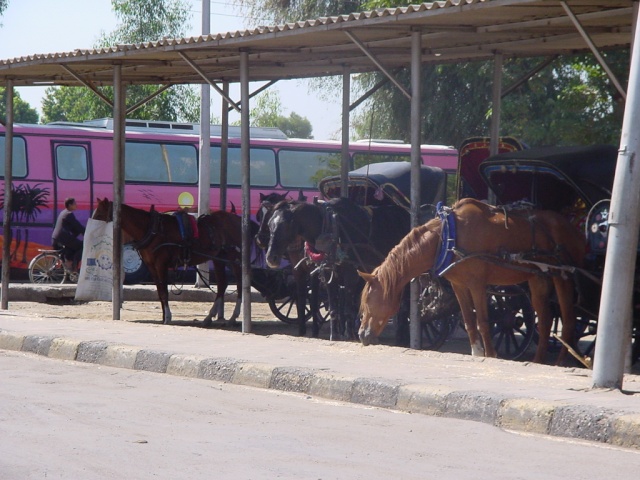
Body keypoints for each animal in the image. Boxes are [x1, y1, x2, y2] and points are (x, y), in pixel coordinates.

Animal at [94, 198, 249, 326]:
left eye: (99, 214)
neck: (152, 229)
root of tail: (236, 218)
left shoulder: (161, 264)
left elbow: (164, 292)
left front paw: (167, 317)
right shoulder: (151, 266)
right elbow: (159, 291)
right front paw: (163, 316)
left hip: (234, 258)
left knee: (240, 283)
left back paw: (233, 316)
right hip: (219, 258)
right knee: (222, 284)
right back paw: (209, 317)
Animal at [262, 199, 408, 342]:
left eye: (286, 225)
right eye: (269, 225)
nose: (270, 258)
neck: (331, 227)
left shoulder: (351, 275)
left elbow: (348, 308)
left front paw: (349, 335)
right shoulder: (328, 274)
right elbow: (333, 307)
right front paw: (335, 335)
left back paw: (401, 335)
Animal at [358, 198, 588, 364]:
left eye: (368, 301)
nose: (361, 334)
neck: (448, 237)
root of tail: (572, 228)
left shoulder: (478, 284)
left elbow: (483, 321)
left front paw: (491, 354)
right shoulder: (459, 286)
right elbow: (469, 321)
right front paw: (477, 352)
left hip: (562, 276)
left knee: (568, 321)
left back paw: (561, 362)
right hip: (537, 277)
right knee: (547, 319)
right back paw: (539, 360)